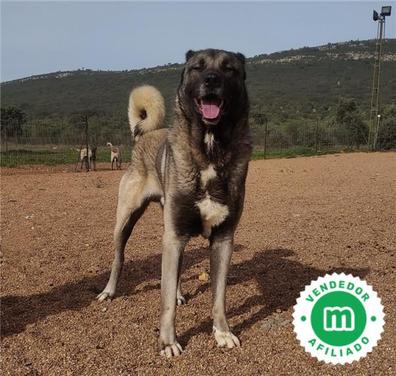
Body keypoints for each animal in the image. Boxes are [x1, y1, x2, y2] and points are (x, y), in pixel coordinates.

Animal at [96, 48, 251, 356]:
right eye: (197, 67)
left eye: (229, 68)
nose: (211, 80)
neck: (209, 149)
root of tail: (144, 136)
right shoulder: (174, 236)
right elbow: (165, 302)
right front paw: (168, 342)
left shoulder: (223, 239)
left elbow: (219, 296)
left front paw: (223, 332)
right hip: (126, 222)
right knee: (119, 258)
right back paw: (109, 291)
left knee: (175, 274)